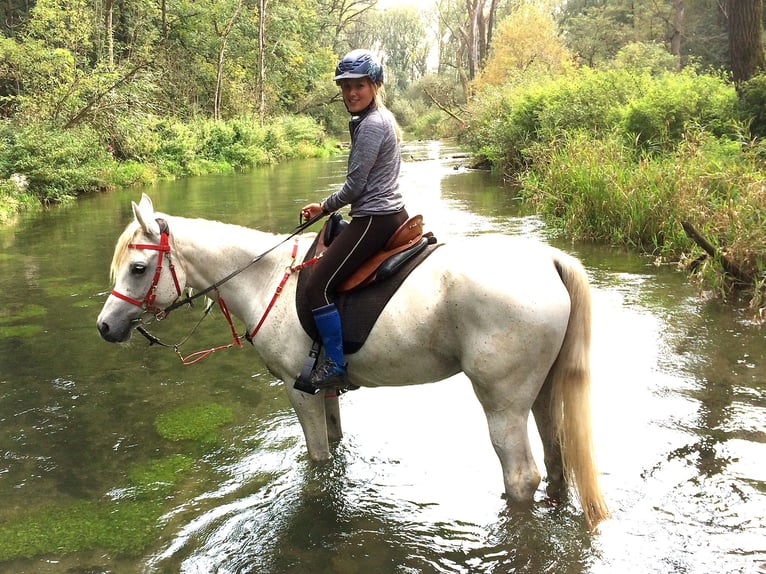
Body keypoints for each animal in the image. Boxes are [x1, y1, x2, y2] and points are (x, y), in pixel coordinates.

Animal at [97, 195, 612, 532]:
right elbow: (336, 443)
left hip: (502, 401)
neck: (266, 280)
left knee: (521, 475)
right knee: (556, 454)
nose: (105, 326)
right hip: (542, 391)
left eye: (138, 269)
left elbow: (318, 459)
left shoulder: (298, 391)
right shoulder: (324, 389)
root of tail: (548, 259)